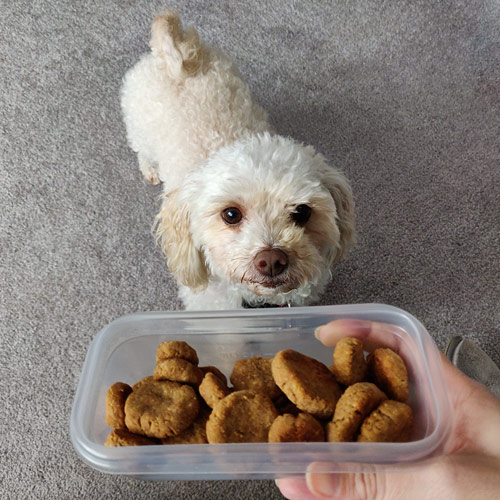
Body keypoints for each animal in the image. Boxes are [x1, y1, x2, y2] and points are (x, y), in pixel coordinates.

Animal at [120, 10, 356, 308]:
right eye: (230, 214)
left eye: (302, 211)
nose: (271, 260)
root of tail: (176, 60)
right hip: (138, 128)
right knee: (142, 152)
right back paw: (150, 170)